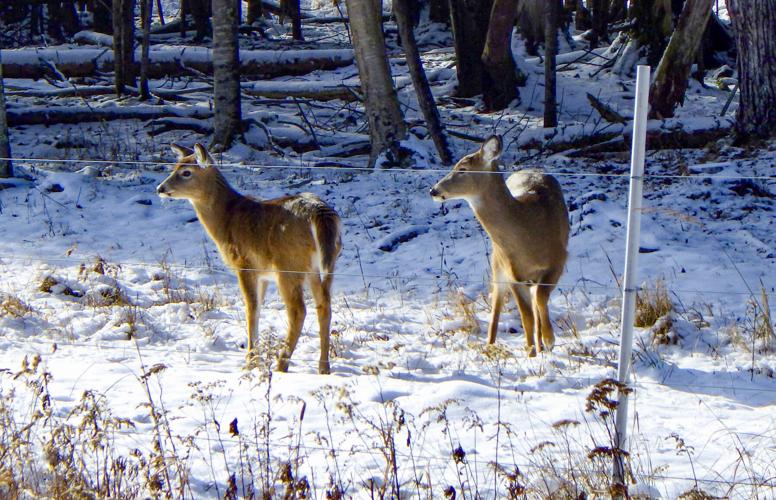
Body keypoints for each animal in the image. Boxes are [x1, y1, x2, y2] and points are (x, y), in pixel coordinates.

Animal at [156, 143, 342, 374]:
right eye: (174, 167)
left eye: (186, 172)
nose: (160, 188)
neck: (226, 219)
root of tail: (320, 213)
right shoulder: (263, 274)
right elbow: (258, 308)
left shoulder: (244, 264)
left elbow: (250, 309)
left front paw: (250, 361)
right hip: (323, 265)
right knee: (324, 306)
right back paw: (323, 367)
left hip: (289, 265)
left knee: (298, 310)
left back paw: (281, 363)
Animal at [429, 135, 569, 357]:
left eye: (463, 169)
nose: (434, 190)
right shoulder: (513, 273)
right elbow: (526, 317)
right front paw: (531, 352)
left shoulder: (558, 260)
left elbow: (539, 301)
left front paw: (549, 340)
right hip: (497, 262)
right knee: (497, 304)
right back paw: (490, 344)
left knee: (536, 302)